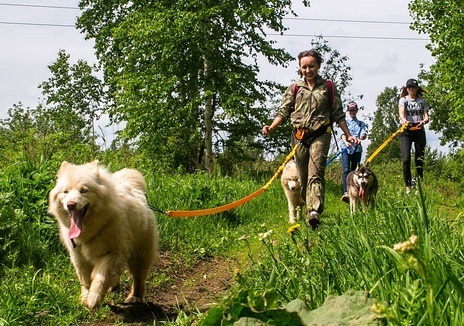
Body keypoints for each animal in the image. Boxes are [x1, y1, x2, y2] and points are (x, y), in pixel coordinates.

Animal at [47, 162, 159, 310]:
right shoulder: (78, 257)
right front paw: (85, 297)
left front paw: (93, 299)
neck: (90, 230)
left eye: (84, 190)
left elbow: (101, 278)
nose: (71, 204)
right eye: (65, 191)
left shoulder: (112, 254)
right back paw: (115, 287)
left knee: (138, 279)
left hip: (139, 256)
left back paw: (134, 297)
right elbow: (85, 280)